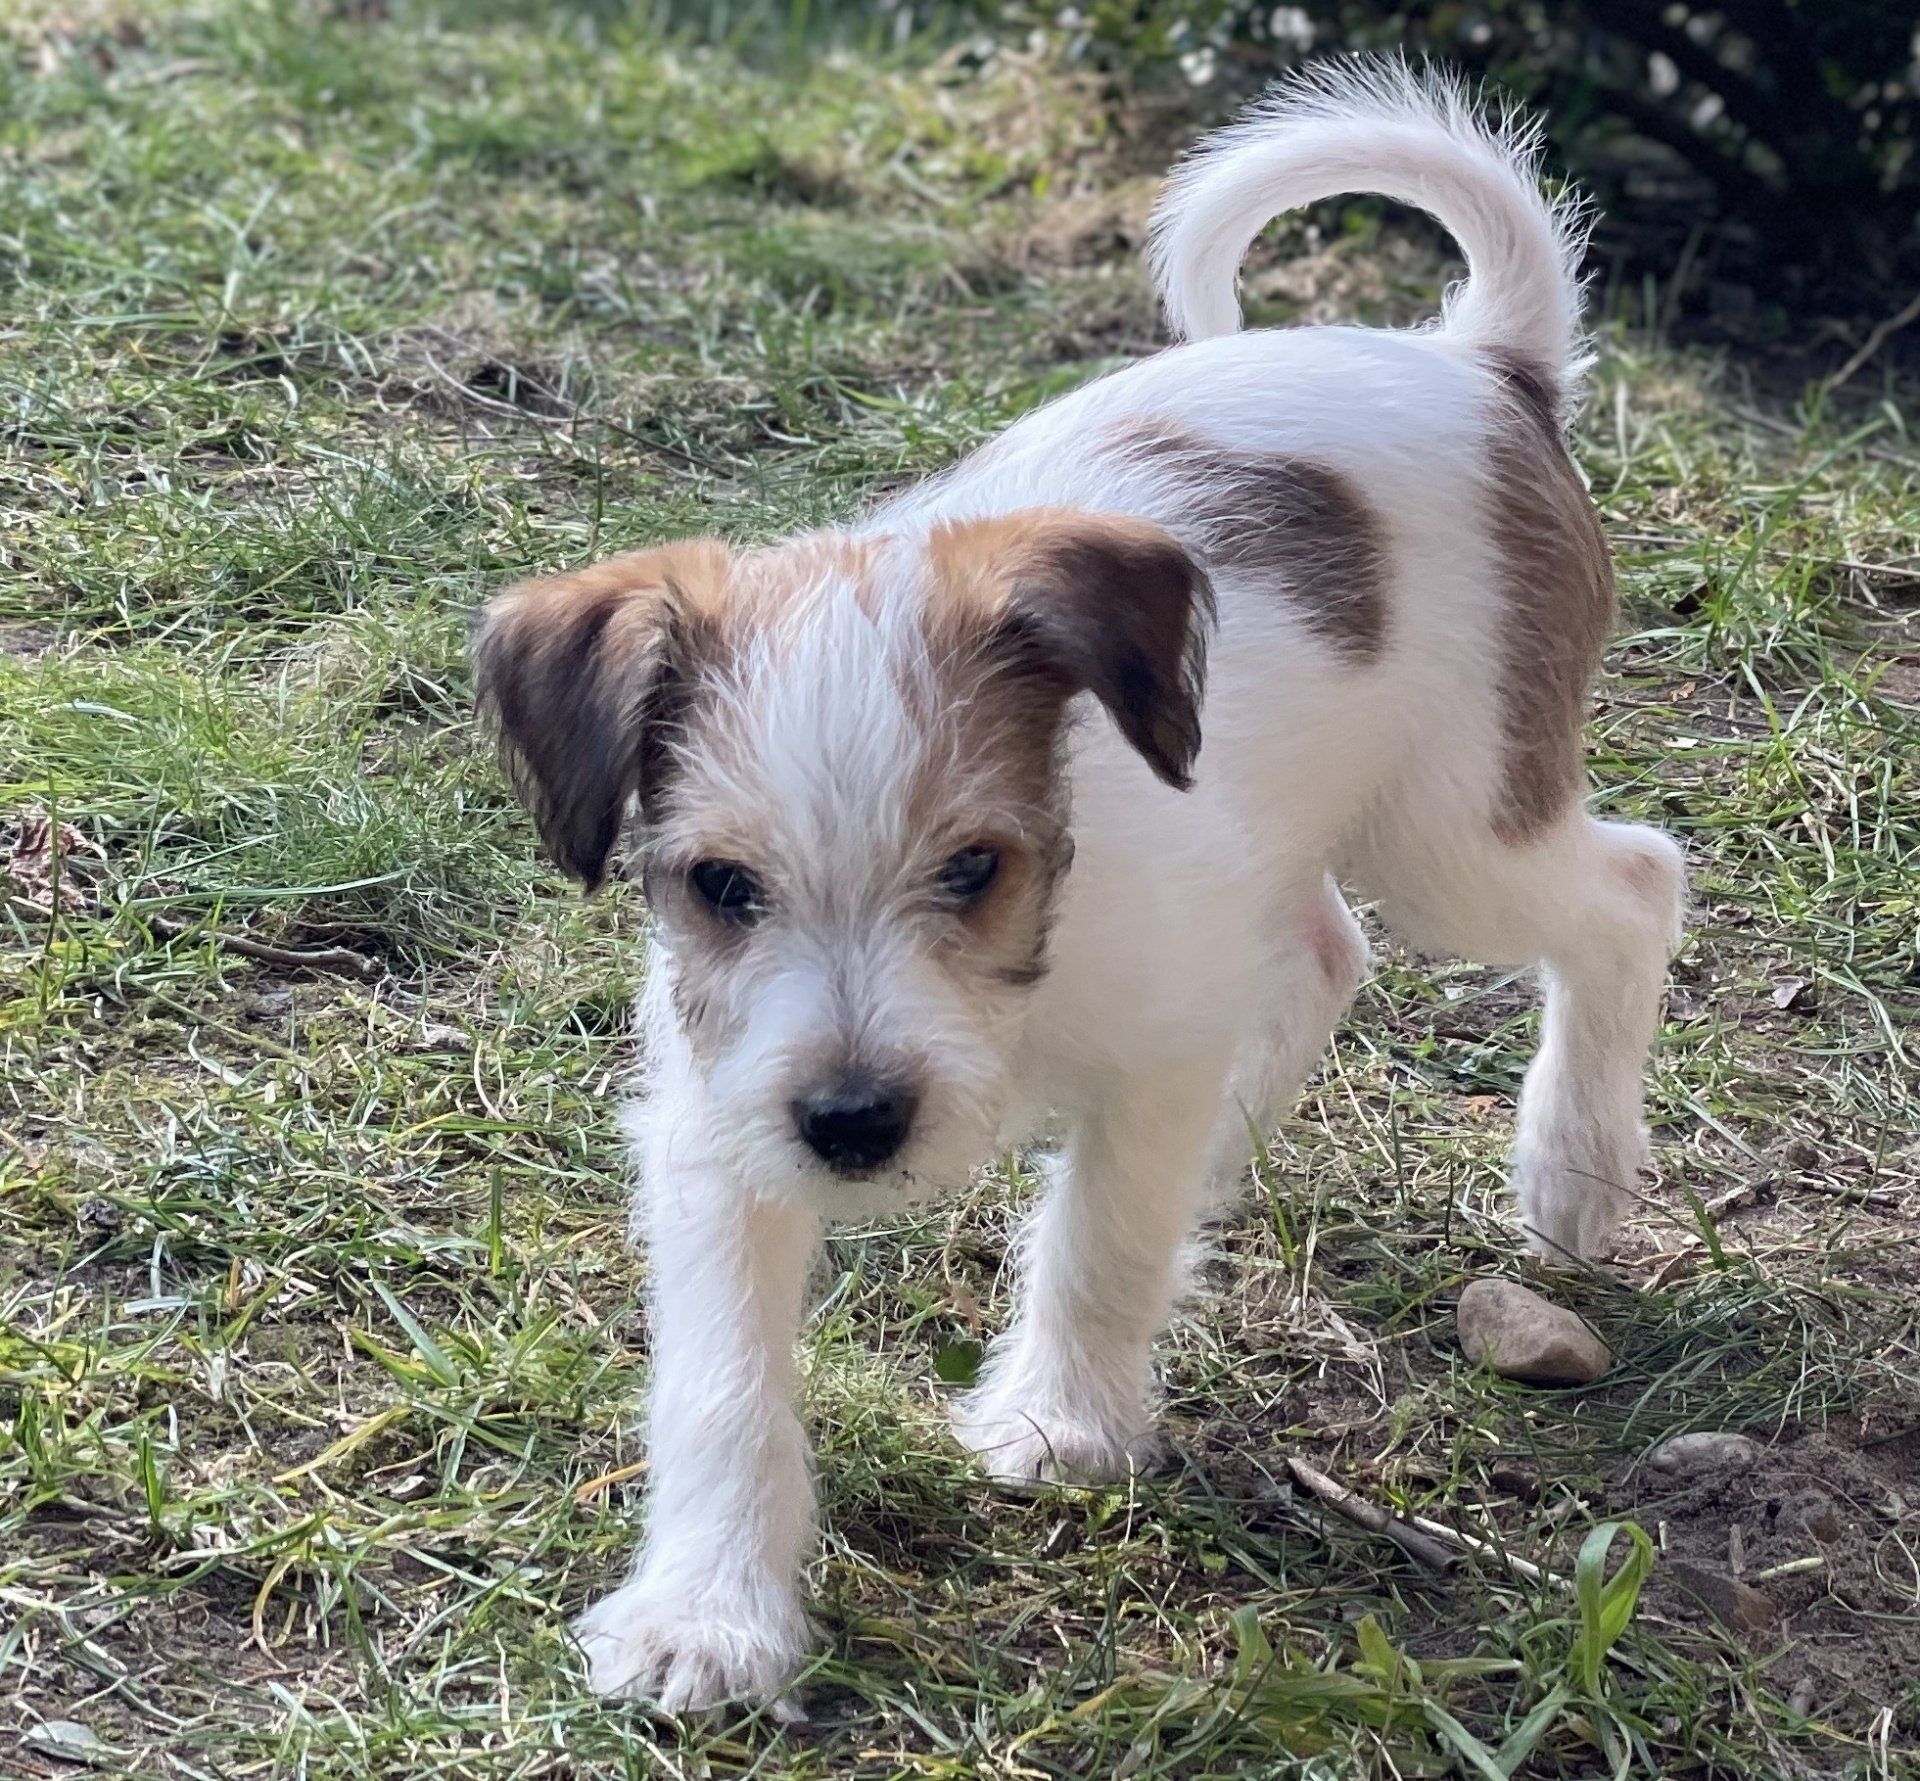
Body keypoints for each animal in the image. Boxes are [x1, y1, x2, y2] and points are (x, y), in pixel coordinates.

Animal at [473, 59, 1686, 1710]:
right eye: (721, 884)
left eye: (974, 867)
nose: (852, 1125)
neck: (1025, 999)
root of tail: (1483, 364)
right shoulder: (720, 1125)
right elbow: (722, 1385)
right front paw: (706, 1612)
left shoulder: (1153, 1043)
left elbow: (1102, 1243)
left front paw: (1062, 1418)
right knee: (1322, 955)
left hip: (1455, 833)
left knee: (1631, 886)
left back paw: (1572, 1170)